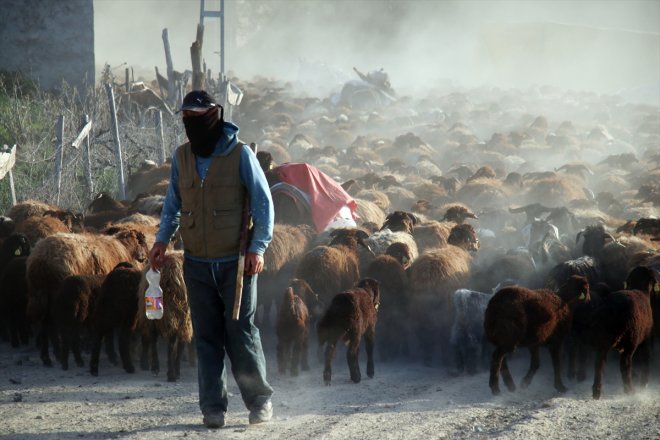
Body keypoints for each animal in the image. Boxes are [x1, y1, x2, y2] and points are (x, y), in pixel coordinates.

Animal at [584, 264, 656, 398]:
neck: (641, 289)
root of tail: (611, 307)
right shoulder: (646, 337)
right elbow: (646, 357)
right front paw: (644, 383)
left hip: (603, 338)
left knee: (599, 362)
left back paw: (596, 391)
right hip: (630, 338)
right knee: (625, 364)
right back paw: (630, 390)